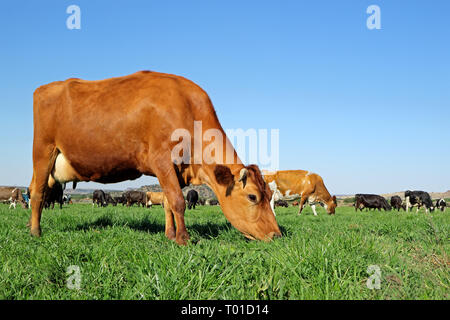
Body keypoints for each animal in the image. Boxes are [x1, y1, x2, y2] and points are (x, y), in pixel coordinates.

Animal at [28, 70, 280, 245]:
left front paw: (170, 235)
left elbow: (168, 202)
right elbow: (178, 201)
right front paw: (184, 239)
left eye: (270, 195)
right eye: (252, 197)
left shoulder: (175, 170)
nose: (277, 235)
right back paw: (35, 232)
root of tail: (44, 88)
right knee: (38, 192)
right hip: (43, 151)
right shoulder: (162, 161)